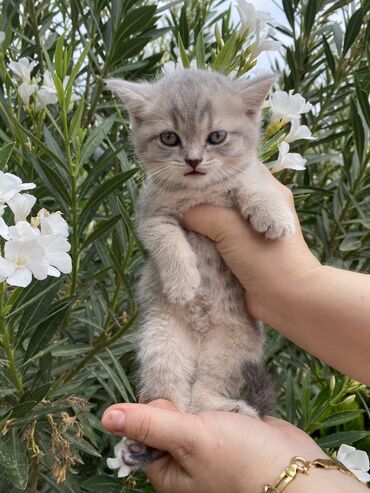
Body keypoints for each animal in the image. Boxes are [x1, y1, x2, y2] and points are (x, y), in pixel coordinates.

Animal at [105, 68, 294, 468]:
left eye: (216, 137)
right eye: (169, 138)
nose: (193, 160)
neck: (198, 194)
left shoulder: (248, 177)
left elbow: (252, 183)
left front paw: (273, 216)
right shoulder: (151, 219)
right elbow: (169, 241)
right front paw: (183, 282)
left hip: (230, 354)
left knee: (201, 398)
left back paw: (235, 410)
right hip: (162, 343)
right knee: (177, 400)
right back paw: (142, 443)